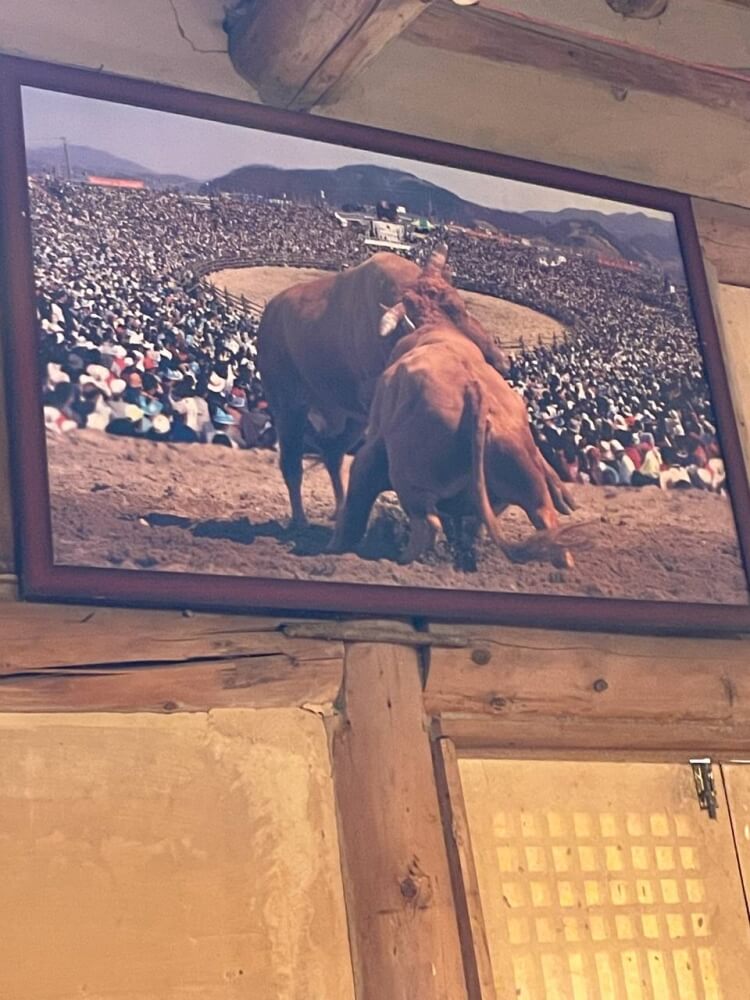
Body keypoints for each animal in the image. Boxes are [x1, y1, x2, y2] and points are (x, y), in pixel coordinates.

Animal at [256, 247, 508, 528]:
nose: (500, 362)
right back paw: (300, 520)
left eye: (460, 307)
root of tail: (269, 317)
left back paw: (340, 510)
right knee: (292, 463)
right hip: (288, 407)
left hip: (350, 418)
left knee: (333, 453)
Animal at [330, 258, 576, 564]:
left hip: (411, 482)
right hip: (526, 487)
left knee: (427, 525)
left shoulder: (373, 446)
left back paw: (400, 558)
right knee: (547, 526)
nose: (502, 360)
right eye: (459, 308)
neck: (436, 331)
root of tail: (475, 394)